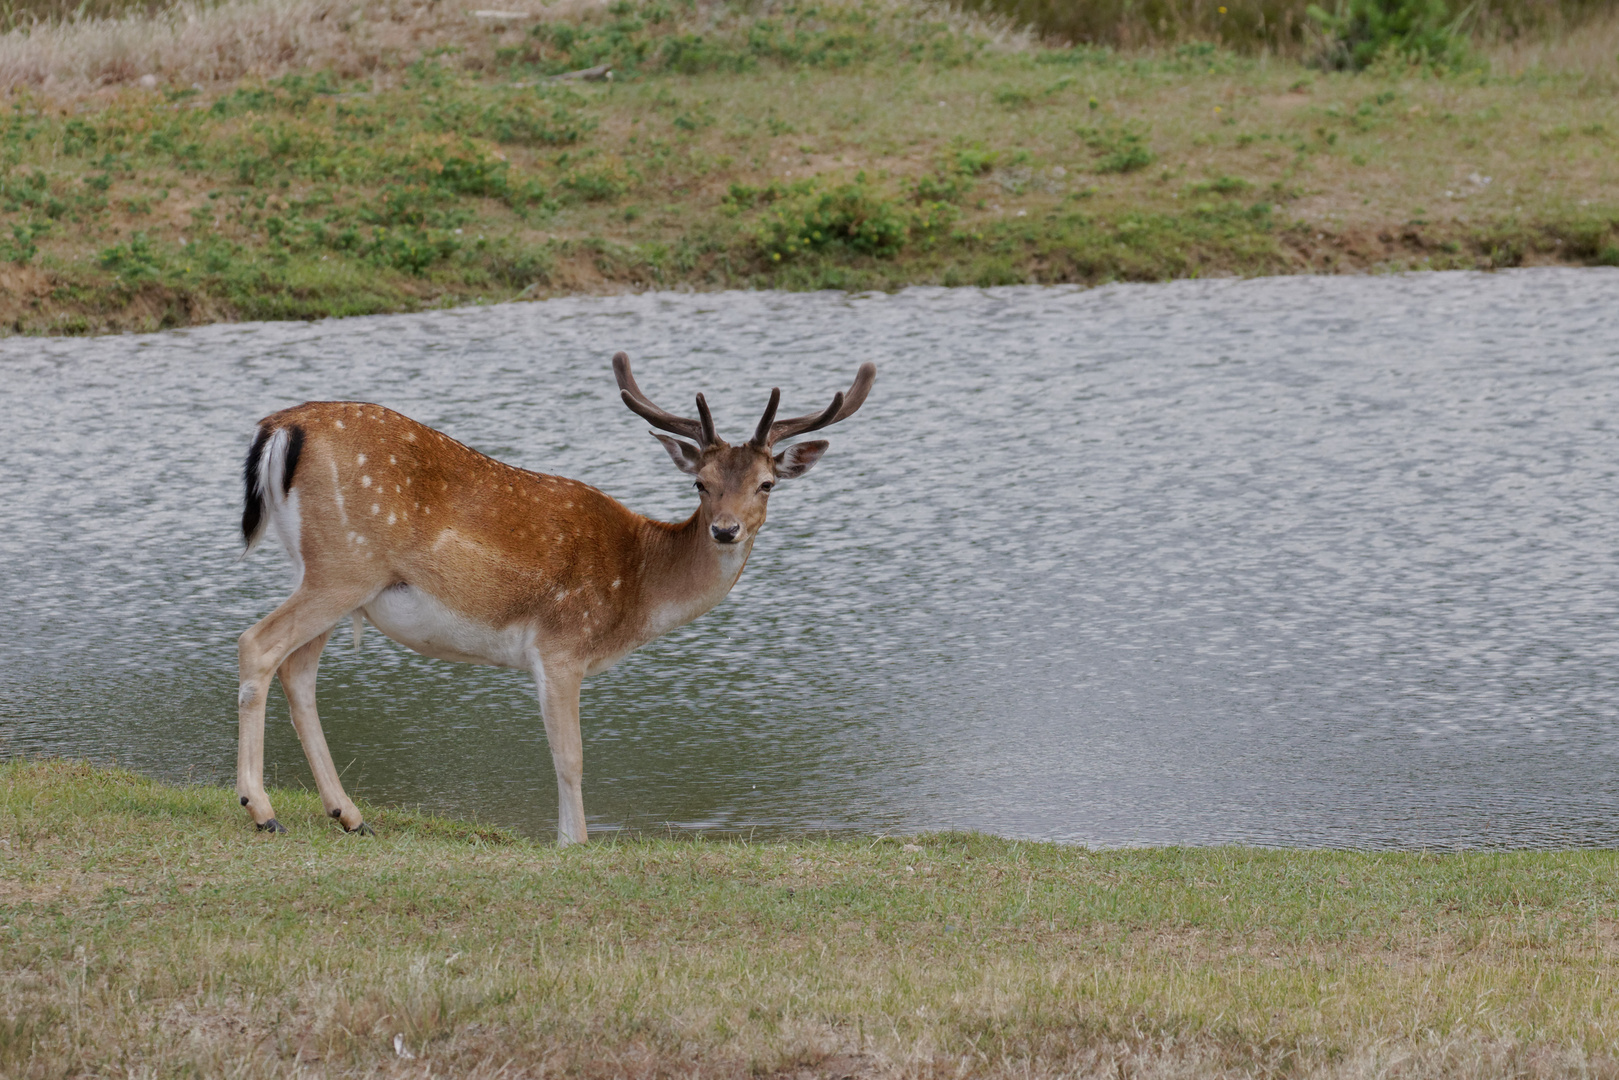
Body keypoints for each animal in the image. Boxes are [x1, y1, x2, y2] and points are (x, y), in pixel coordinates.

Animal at [231, 354, 874, 841]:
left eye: (766, 484)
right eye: (700, 484)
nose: (724, 529)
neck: (636, 587)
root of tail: (279, 428)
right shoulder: (561, 645)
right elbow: (571, 757)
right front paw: (574, 841)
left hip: (332, 578)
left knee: (297, 670)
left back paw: (349, 815)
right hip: (343, 566)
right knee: (257, 644)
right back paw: (262, 810)